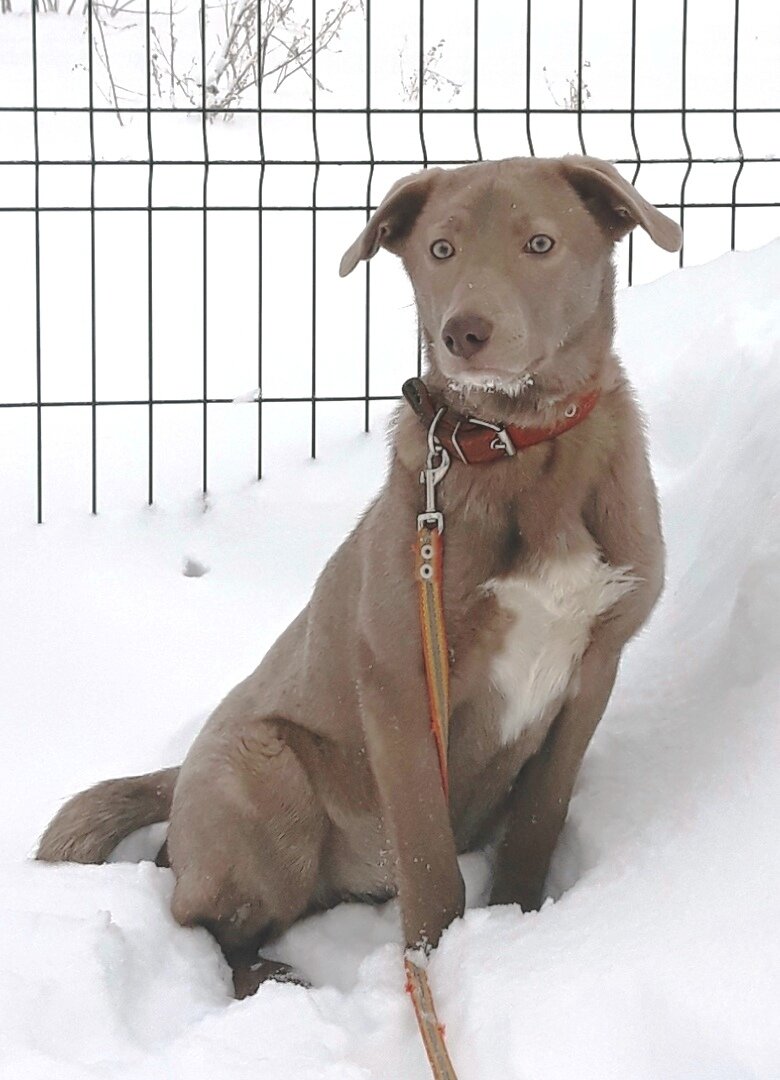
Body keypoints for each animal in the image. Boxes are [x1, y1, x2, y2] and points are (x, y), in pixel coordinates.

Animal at [38, 156, 682, 997]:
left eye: (540, 243)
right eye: (440, 250)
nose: (464, 334)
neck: (517, 445)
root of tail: (176, 780)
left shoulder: (596, 665)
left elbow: (539, 821)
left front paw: (519, 926)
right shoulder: (400, 680)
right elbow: (429, 861)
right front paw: (434, 969)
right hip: (264, 772)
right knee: (199, 918)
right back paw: (272, 976)